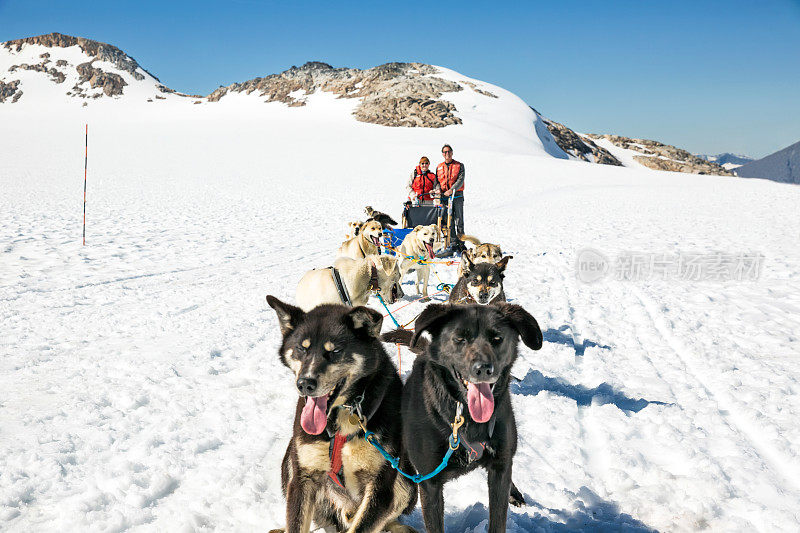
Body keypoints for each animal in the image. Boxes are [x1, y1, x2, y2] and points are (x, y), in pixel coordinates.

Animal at [268, 298, 418, 532]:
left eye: (335, 351)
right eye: (301, 348)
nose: (305, 383)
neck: (341, 417)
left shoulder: (380, 488)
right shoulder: (303, 479)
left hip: (408, 480)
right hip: (289, 466)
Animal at [400, 304, 544, 532]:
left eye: (497, 338)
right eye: (460, 338)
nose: (483, 369)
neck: (466, 419)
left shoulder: (499, 468)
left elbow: (498, 519)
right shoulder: (429, 483)